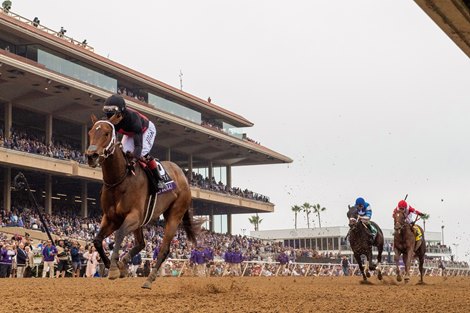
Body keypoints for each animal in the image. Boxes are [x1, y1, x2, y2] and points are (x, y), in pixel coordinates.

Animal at [85, 114, 201, 288]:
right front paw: (111, 264)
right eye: (91, 132)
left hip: (174, 215)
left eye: (106, 133)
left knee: (164, 249)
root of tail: (183, 177)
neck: (120, 179)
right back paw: (124, 263)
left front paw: (114, 268)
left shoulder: (134, 216)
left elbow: (119, 235)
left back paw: (149, 279)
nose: (91, 156)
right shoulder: (111, 218)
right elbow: (97, 241)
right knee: (141, 244)